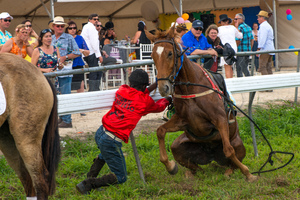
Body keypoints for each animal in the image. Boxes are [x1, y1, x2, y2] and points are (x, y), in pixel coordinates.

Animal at [146, 27, 256, 182]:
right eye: (152, 56)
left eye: (170, 53)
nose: (163, 88)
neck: (189, 87)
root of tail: (212, 157)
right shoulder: (182, 120)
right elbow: (160, 131)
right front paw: (170, 166)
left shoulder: (220, 119)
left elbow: (228, 150)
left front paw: (248, 174)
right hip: (179, 146)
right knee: (194, 165)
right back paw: (191, 173)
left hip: (238, 143)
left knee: (231, 160)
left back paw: (229, 171)